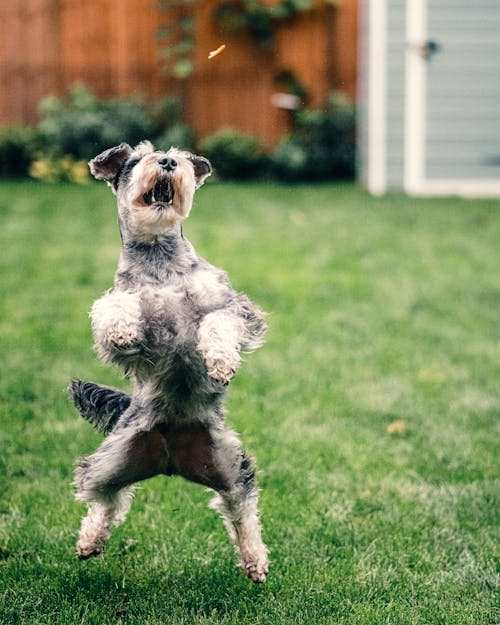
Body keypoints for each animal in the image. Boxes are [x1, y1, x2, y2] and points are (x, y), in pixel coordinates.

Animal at [69, 140, 270, 580]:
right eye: (135, 160)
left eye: (174, 154)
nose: (166, 162)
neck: (160, 264)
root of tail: (170, 460)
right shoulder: (136, 327)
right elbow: (114, 308)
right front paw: (122, 326)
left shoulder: (235, 308)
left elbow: (218, 322)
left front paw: (220, 361)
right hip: (113, 458)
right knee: (103, 497)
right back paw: (89, 540)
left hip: (228, 464)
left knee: (241, 508)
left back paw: (255, 559)